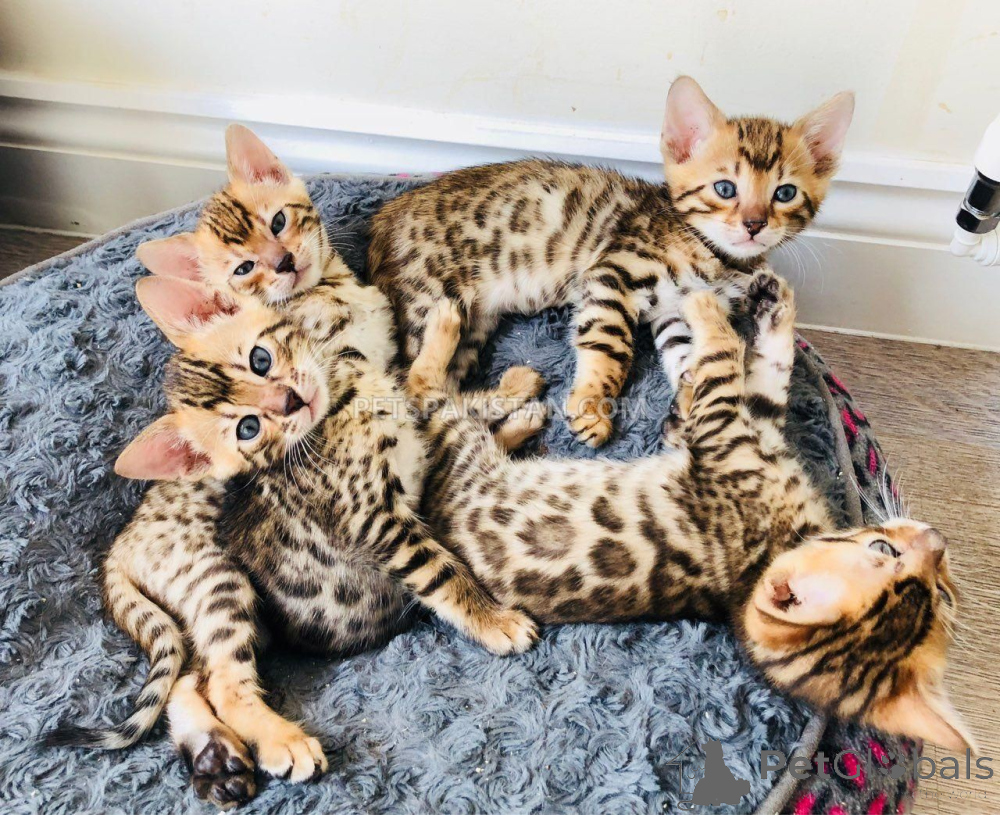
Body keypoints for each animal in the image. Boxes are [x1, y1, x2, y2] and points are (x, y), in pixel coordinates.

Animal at [368, 76, 854, 447]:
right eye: (725, 189)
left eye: (785, 193)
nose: (754, 224)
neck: (715, 257)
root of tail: (382, 219)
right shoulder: (612, 273)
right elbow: (610, 343)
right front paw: (591, 407)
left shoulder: (674, 311)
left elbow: (690, 357)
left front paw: (690, 400)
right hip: (429, 299)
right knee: (414, 387)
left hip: (475, 324)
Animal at [405, 271, 974, 752]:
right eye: (886, 548)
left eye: (936, 586)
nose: (938, 539)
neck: (760, 561)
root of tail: (435, 510)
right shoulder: (744, 429)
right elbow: (766, 373)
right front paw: (770, 308)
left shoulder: (723, 433)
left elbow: (726, 363)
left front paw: (704, 308)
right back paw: (519, 407)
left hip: (456, 448)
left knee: (425, 391)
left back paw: (456, 333)